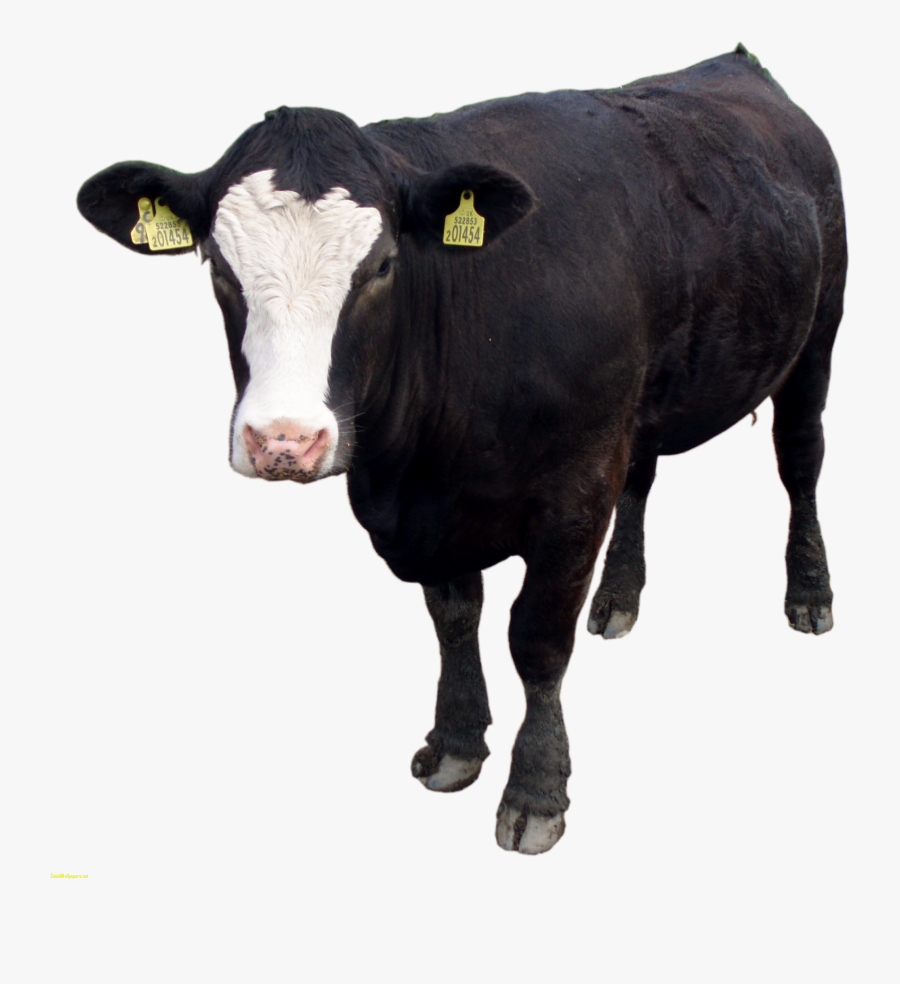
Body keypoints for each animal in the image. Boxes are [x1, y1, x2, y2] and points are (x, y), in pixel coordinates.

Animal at [77, 45, 846, 854]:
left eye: (383, 265)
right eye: (219, 269)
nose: (284, 439)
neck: (416, 465)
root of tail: (735, 64)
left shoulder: (573, 490)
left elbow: (535, 639)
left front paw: (536, 790)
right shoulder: (436, 509)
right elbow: (454, 619)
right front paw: (455, 744)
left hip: (818, 334)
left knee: (800, 461)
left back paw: (809, 594)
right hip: (649, 401)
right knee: (643, 476)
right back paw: (619, 597)